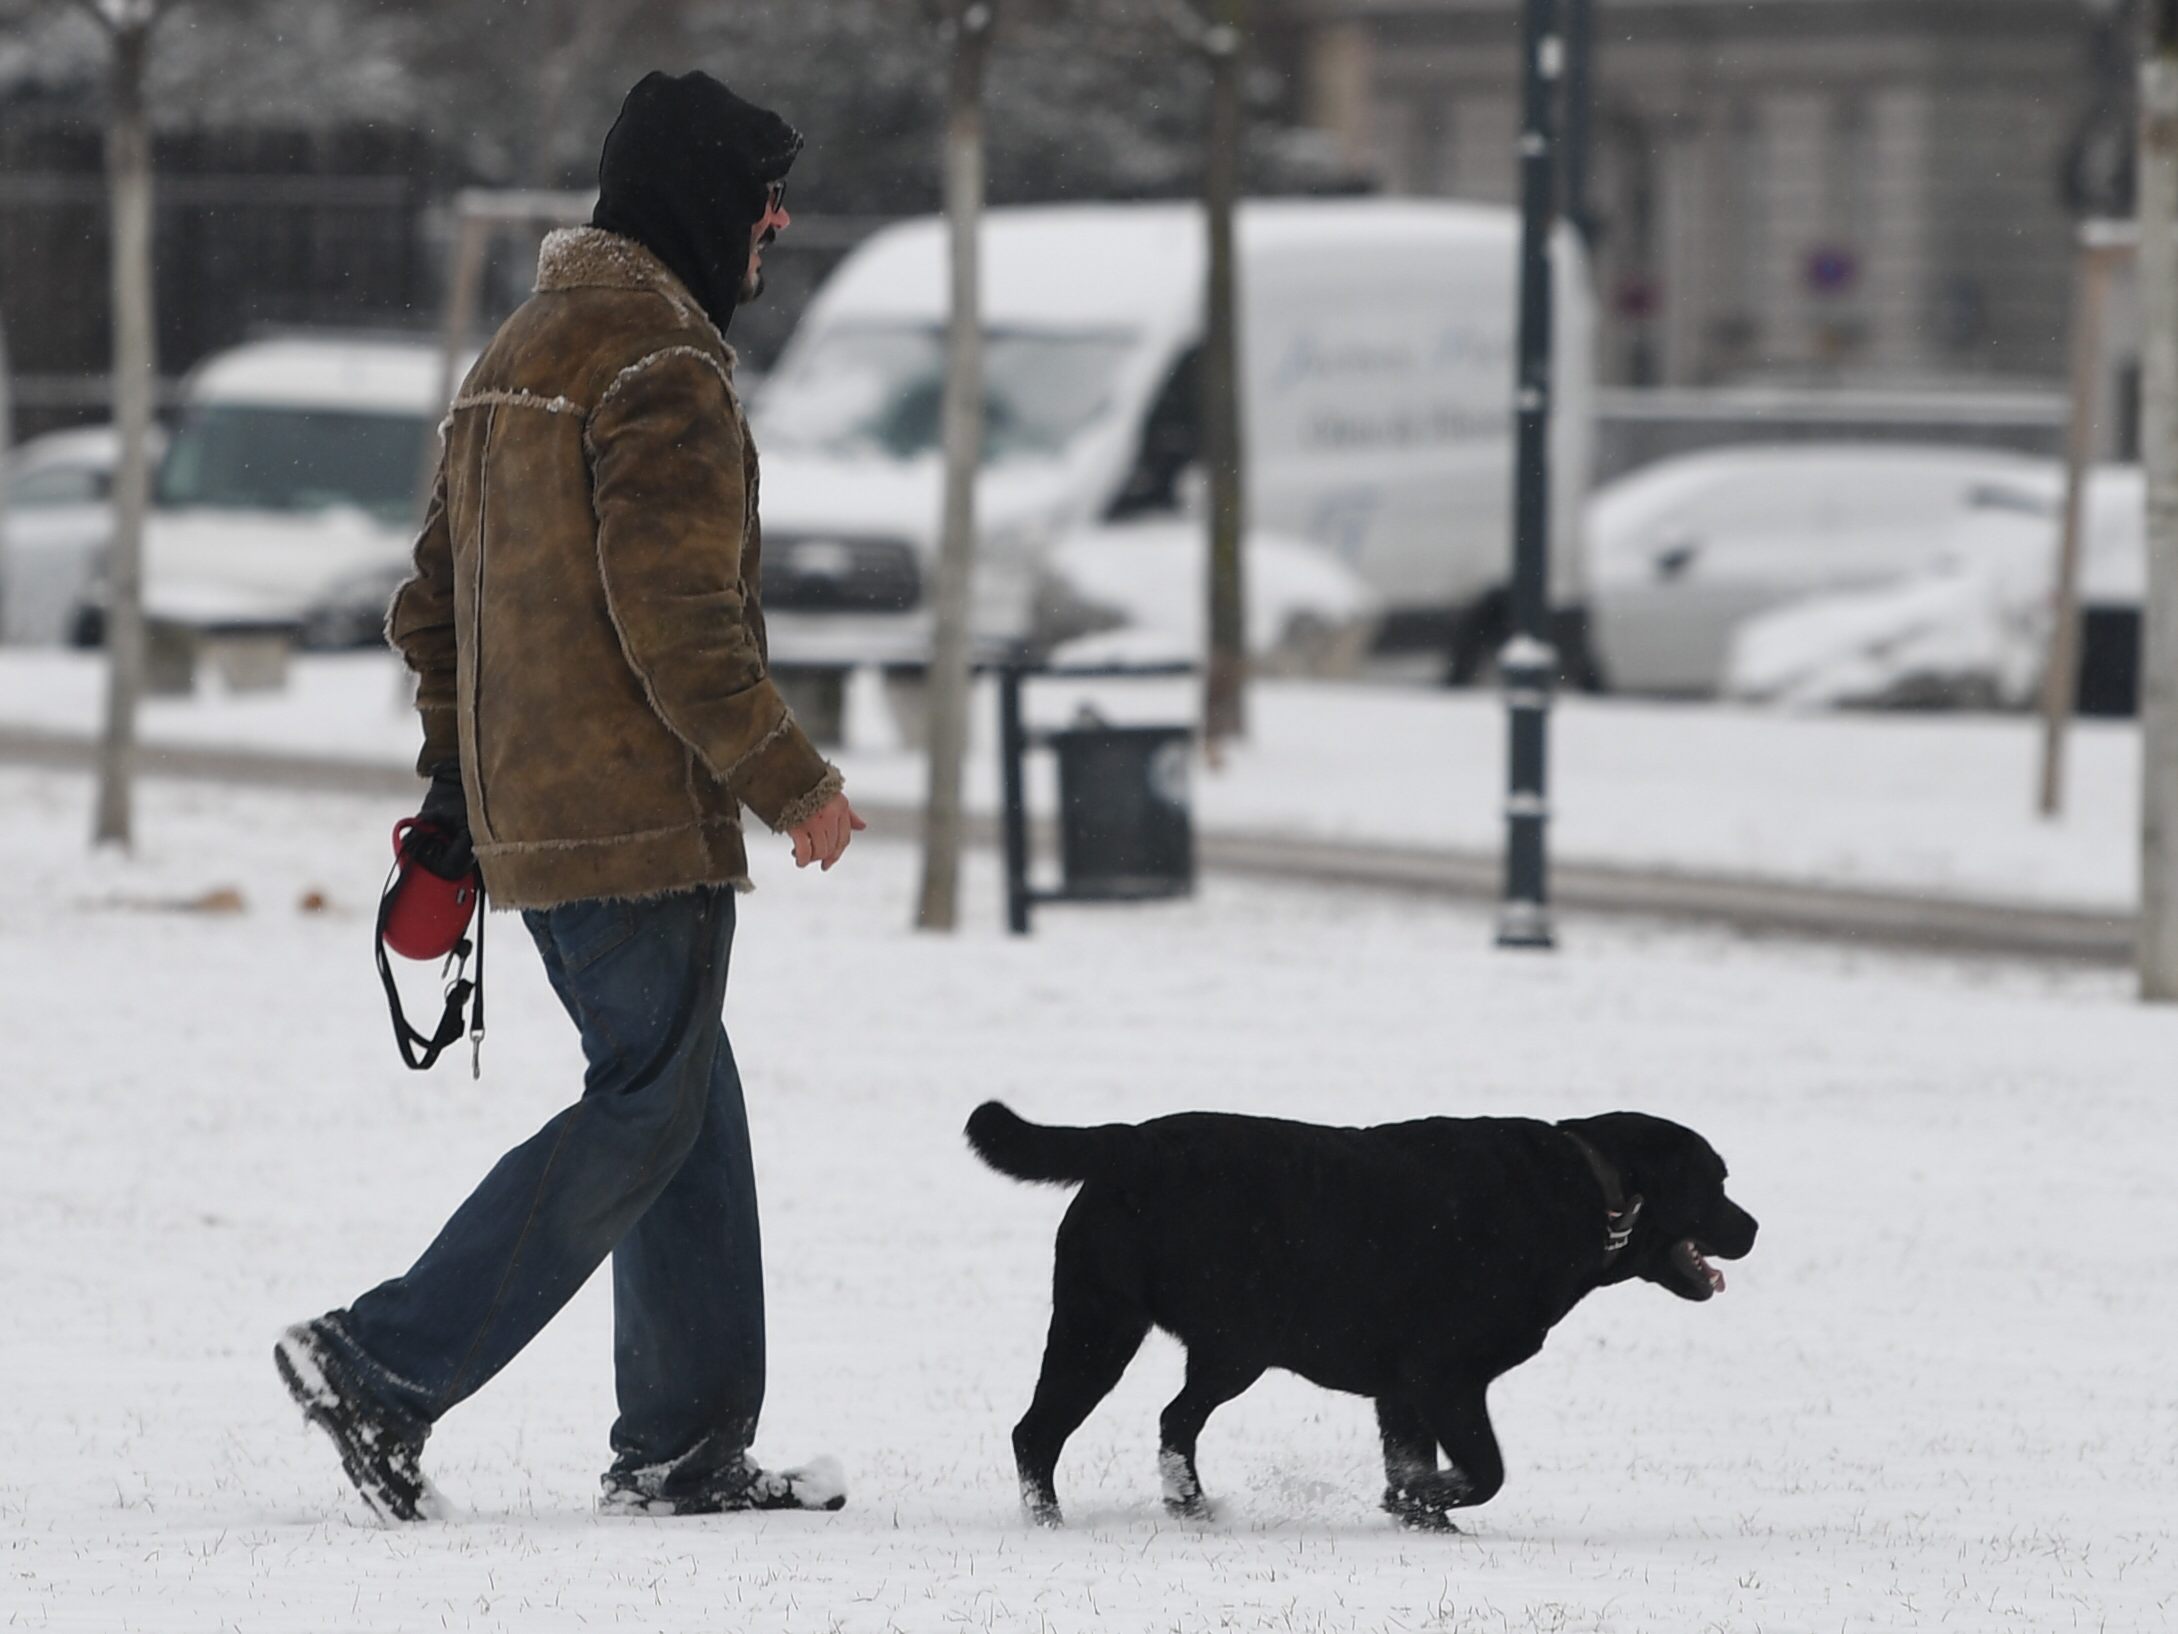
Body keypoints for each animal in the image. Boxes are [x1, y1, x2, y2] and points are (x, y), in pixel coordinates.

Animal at [967, 1102, 1751, 1533]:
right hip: (1127, 1332)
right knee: (1048, 1432)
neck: (1596, 1193)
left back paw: (1183, 1509)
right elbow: (1484, 1469)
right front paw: (1420, 1501)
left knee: (1155, 1423)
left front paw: (1421, 1516)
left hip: (1196, 1342)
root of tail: (1129, 1139)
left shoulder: (1402, 1391)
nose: (1753, 1227)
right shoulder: (1445, 1377)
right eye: (1714, 1182)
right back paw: (1054, 1524)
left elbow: (1415, 1460)